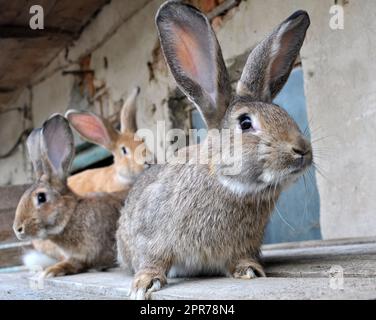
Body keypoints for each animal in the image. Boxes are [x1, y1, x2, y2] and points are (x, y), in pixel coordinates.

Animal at [116, 1, 312, 298]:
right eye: (245, 123)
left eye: (284, 114)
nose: (302, 150)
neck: (225, 181)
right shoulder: (151, 233)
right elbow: (153, 257)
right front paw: (144, 283)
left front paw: (250, 270)